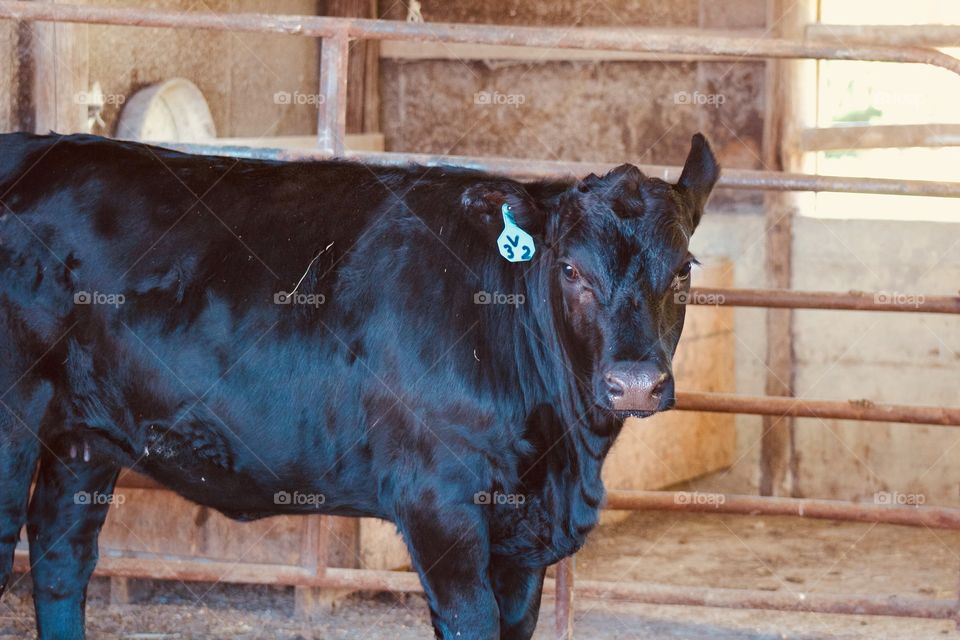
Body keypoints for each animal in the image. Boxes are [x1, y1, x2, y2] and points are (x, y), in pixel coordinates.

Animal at [0, 131, 720, 640]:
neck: (563, 458)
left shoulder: (523, 542)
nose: (633, 383)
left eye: (684, 268)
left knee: (62, 559)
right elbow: (470, 622)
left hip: (81, 437)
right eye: (570, 269)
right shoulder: (438, 505)